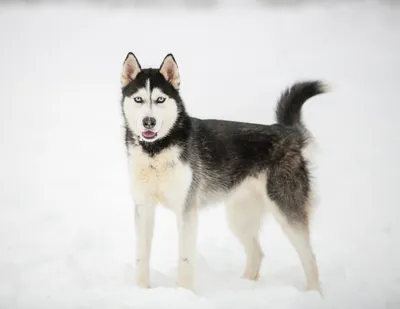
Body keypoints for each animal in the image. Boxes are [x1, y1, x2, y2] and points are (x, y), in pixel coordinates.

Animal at [120, 52, 326, 292]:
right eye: (139, 99)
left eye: (160, 100)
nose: (149, 121)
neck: (156, 151)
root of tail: (288, 133)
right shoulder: (143, 207)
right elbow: (141, 257)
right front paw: (141, 290)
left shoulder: (186, 210)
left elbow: (185, 259)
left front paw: (184, 292)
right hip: (239, 217)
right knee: (257, 253)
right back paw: (244, 287)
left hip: (287, 211)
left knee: (310, 257)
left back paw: (313, 293)